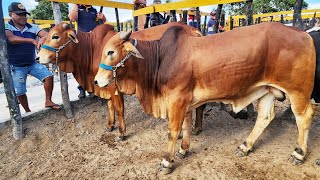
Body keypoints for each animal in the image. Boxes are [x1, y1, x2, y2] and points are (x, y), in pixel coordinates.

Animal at [37, 22, 202, 140]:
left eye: (55, 36)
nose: (38, 57)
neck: (91, 48)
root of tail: (193, 29)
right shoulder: (103, 85)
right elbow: (110, 106)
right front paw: (110, 125)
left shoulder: (113, 85)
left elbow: (119, 108)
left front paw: (121, 133)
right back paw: (197, 128)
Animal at [94, 21, 316, 174]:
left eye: (111, 52)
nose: (97, 81)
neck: (160, 59)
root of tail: (304, 34)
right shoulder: (184, 102)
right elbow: (185, 127)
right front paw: (183, 150)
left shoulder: (177, 100)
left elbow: (173, 131)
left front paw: (167, 161)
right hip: (268, 90)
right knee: (265, 117)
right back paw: (245, 146)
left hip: (298, 91)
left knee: (304, 116)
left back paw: (299, 153)